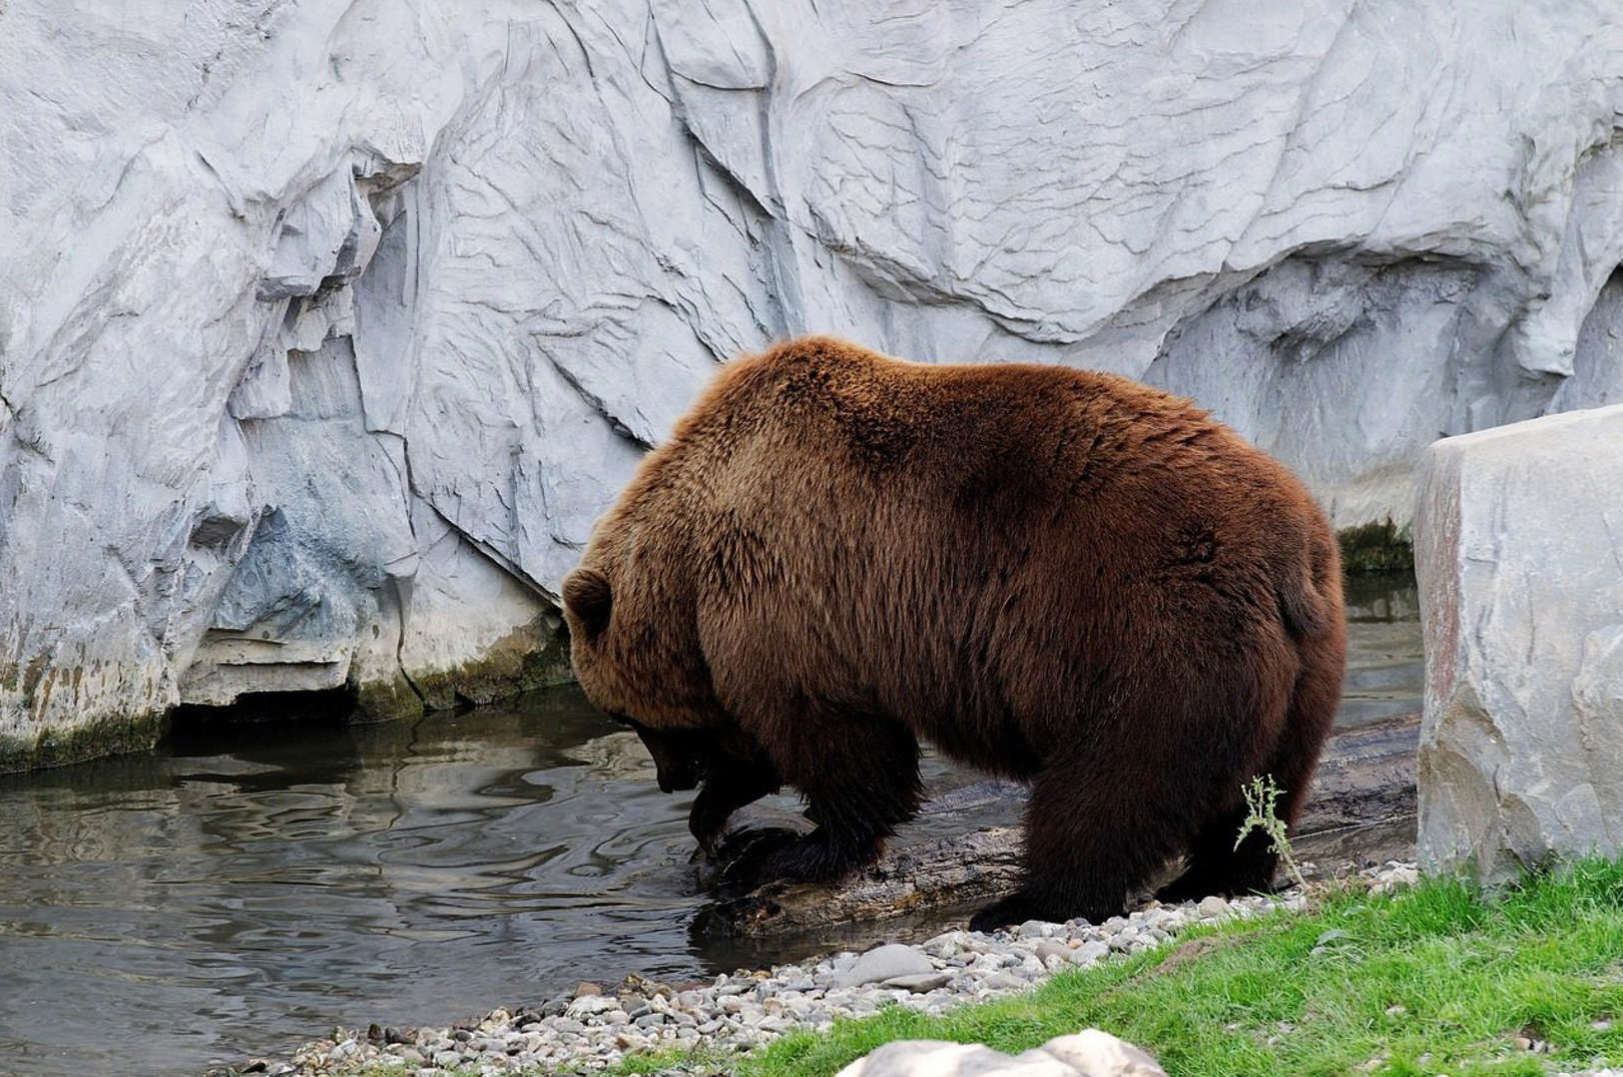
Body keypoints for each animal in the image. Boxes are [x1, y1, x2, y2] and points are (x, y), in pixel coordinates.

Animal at [561, 335, 1346, 930]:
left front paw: (785, 848)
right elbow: (769, 746)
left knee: (1112, 783)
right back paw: (1216, 874)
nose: (670, 778)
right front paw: (720, 827)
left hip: (1142, 629)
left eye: (624, 716)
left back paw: (1025, 901)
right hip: (1306, 660)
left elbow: (837, 746)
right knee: (1263, 788)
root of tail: (1284, 547)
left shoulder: (789, 595)